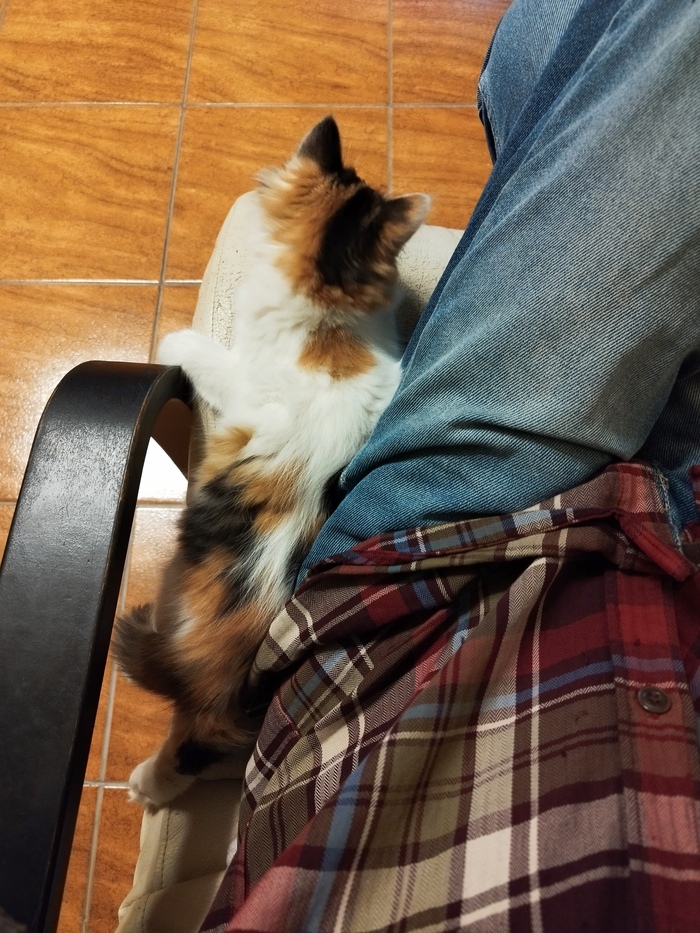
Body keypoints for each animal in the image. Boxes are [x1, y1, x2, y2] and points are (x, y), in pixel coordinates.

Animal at [113, 115, 430, 811]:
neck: (327, 315)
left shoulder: (239, 386)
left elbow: (195, 350)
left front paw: (176, 339)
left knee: (185, 744)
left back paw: (148, 786)